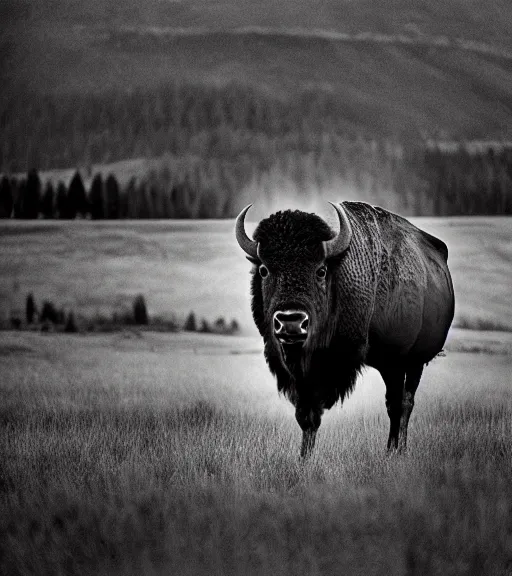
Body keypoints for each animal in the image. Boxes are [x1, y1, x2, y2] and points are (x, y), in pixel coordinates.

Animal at [234, 202, 454, 460]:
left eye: (320, 270)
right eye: (264, 270)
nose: (291, 323)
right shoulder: (299, 375)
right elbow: (306, 416)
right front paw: (304, 458)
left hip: (411, 361)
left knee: (404, 403)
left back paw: (398, 450)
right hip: (391, 365)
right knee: (394, 402)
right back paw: (391, 449)